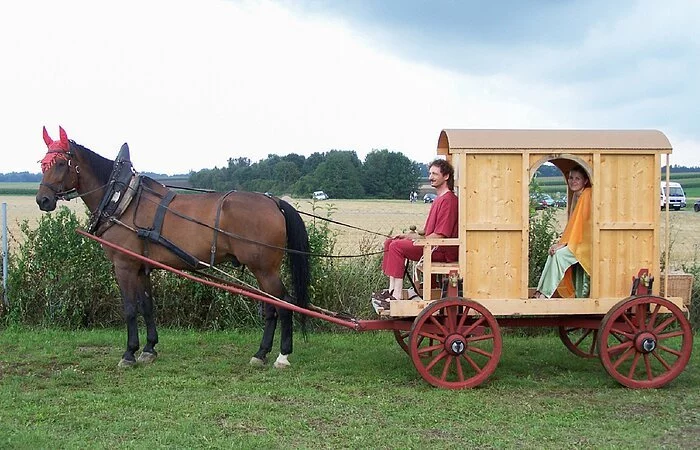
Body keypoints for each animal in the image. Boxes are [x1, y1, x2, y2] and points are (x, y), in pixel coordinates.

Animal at [36, 127, 308, 370]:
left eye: (60, 163)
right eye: (42, 164)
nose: (42, 200)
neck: (121, 199)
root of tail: (273, 201)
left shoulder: (124, 265)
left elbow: (130, 309)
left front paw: (129, 353)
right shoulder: (141, 267)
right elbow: (147, 306)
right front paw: (148, 349)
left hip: (264, 268)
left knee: (284, 303)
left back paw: (282, 356)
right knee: (271, 306)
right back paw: (261, 353)